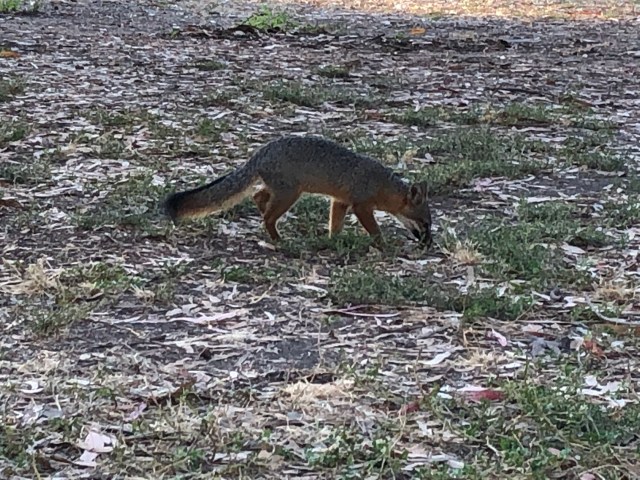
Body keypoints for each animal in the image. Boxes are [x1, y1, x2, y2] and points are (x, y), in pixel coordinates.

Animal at [162, 135, 432, 248]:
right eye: (425, 224)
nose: (429, 244)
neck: (382, 184)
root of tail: (260, 152)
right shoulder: (360, 205)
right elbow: (374, 229)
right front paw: (382, 244)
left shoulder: (340, 201)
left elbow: (335, 224)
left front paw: (333, 240)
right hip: (291, 194)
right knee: (267, 216)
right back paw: (277, 238)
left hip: (282, 191)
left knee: (258, 196)